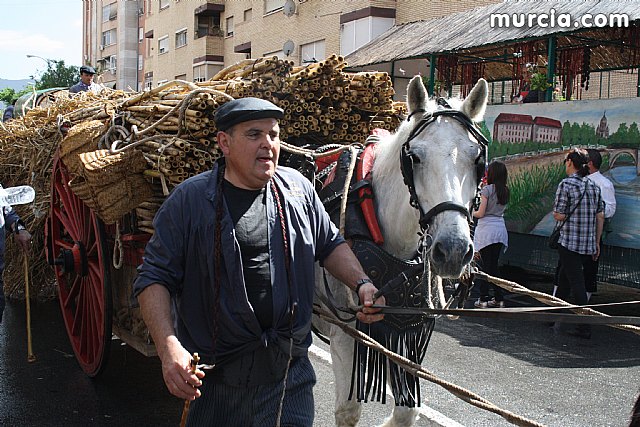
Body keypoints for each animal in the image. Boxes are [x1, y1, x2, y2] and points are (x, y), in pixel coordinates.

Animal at [316, 77, 490, 427]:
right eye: (415, 157)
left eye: (477, 158)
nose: (452, 250)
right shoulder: (345, 332)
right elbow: (348, 410)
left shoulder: (406, 333)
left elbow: (408, 410)